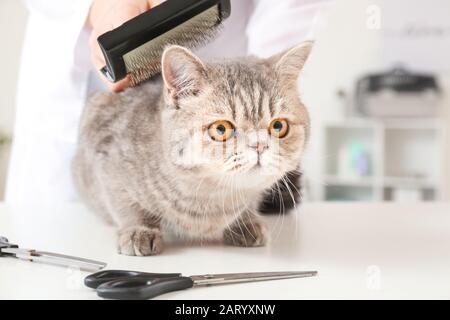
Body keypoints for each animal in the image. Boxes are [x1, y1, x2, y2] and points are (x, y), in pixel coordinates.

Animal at [73, 41, 312, 256]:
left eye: (278, 126)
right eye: (221, 128)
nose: (259, 144)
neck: (211, 199)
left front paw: (244, 222)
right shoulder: (108, 161)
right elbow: (125, 205)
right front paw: (139, 229)